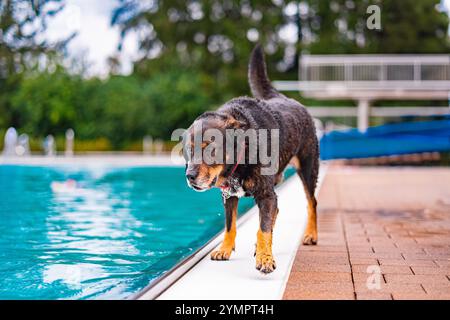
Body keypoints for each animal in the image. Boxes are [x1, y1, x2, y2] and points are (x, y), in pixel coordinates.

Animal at [184, 44, 320, 276]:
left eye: (210, 148)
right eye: (188, 150)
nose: (189, 176)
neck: (241, 158)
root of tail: (287, 99)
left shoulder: (265, 194)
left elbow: (263, 228)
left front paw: (265, 258)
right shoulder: (229, 196)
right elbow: (230, 225)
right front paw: (225, 249)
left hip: (308, 169)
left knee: (312, 202)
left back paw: (311, 234)